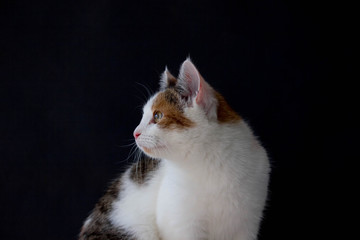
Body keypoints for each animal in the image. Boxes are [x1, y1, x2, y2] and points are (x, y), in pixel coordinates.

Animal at [79, 58, 270, 240]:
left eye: (157, 116)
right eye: (143, 116)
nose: (135, 133)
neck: (211, 163)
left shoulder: (248, 224)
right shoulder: (180, 224)